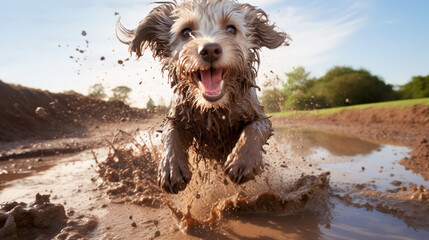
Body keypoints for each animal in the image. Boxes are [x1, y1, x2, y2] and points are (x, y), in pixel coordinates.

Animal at [116, 0, 288, 193]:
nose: (210, 49)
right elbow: (170, 132)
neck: (214, 109)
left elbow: (255, 128)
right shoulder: (179, 115)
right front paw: (170, 167)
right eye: (186, 32)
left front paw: (242, 160)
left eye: (231, 29)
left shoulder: (256, 112)